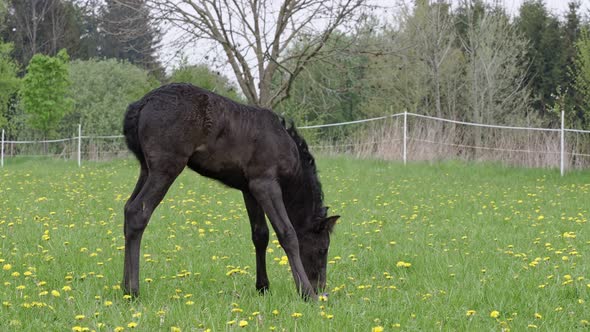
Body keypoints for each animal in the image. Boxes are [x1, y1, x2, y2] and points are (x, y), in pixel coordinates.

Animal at [122, 83, 340, 300]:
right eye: (323, 249)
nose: (320, 287)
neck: (284, 143)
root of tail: (141, 105)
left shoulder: (250, 190)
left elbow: (260, 235)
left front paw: (263, 287)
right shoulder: (266, 184)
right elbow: (287, 234)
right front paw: (306, 293)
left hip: (146, 169)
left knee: (127, 209)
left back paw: (124, 288)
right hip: (166, 168)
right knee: (137, 213)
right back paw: (133, 291)